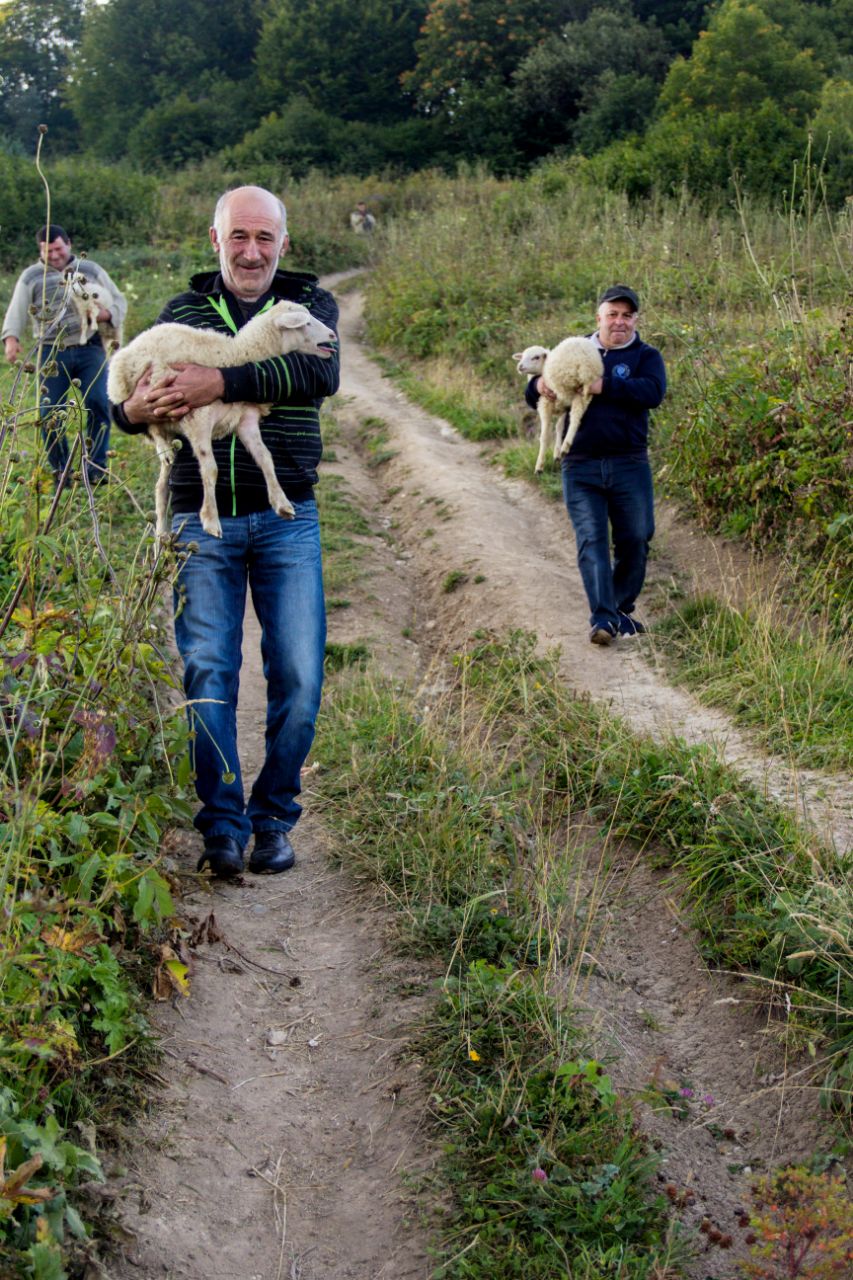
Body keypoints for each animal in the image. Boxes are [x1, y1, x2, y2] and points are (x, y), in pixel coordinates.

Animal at [111, 304, 338, 540]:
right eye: (306, 323)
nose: (333, 335)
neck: (239, 353)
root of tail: (137, 339)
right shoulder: (199, 419)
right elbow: (210, 469)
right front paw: (210, 519)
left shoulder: (245, 420)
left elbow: (265, 458)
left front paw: (281, 503)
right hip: (143, 396)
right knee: (153, 426)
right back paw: (162, 448)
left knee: (161, 485)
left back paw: (162, 535)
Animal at [514, 337, 601, 473]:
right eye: (522, 356)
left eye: (536, 357)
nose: (520, 366)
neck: (542, 369)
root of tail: (584, 360)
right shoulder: (562, 408)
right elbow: (559, 427)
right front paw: (556, 454)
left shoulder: (546, 403)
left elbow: (545, 435)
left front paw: (539, 465)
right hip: (585, 390)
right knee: (576, 418)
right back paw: (565, 446)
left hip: (564, 387)